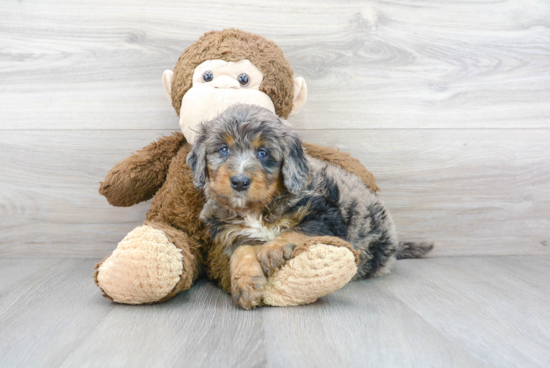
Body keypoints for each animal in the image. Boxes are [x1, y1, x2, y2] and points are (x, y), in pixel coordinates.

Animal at [190, 103, 436, 308]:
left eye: (263, 153)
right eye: (223, 149)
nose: (239, 181)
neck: (259, 208)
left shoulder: (326, 214)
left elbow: (297, 230)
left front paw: (273, 248)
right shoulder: (233, 234)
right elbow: (241, 252)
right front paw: (246, 285)